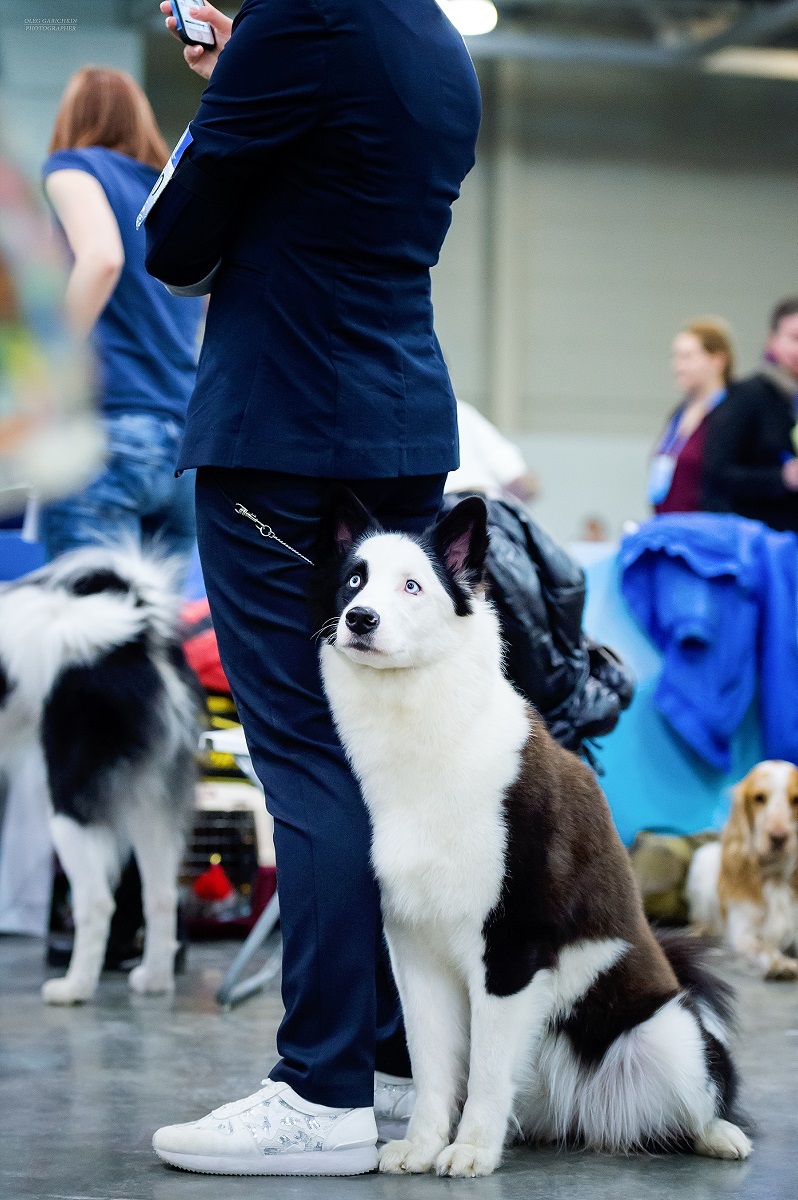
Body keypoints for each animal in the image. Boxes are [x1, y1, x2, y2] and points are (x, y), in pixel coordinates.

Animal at [0, 549, 202, 1003]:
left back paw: (74, 987)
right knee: (161, 895)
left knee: (96, 902)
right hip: (150, 799)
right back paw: (154, 980)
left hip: (71, 798)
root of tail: (138, 635)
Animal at [316, 492, 748, 1176]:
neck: (434, 741)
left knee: (701, 1094)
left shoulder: (513, 946)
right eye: (355, 580)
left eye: (412, 585)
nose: (360, 619)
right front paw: (424, 1144)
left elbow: (489, 1071)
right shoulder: (416, 950)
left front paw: (470, 1150)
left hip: (667, 1031)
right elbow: (435, 1067)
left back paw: (721, 1135)